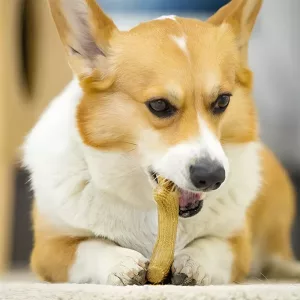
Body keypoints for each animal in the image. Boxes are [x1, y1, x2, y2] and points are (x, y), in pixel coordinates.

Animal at [24, 0, 300, 286]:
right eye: (159, 105)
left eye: (223, 101)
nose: (212, 176)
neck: (150, 205)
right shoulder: (49, 248)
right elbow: (90, 246)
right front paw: (120, 261)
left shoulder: (235, 243)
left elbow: (211, 245)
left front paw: (193, 261)